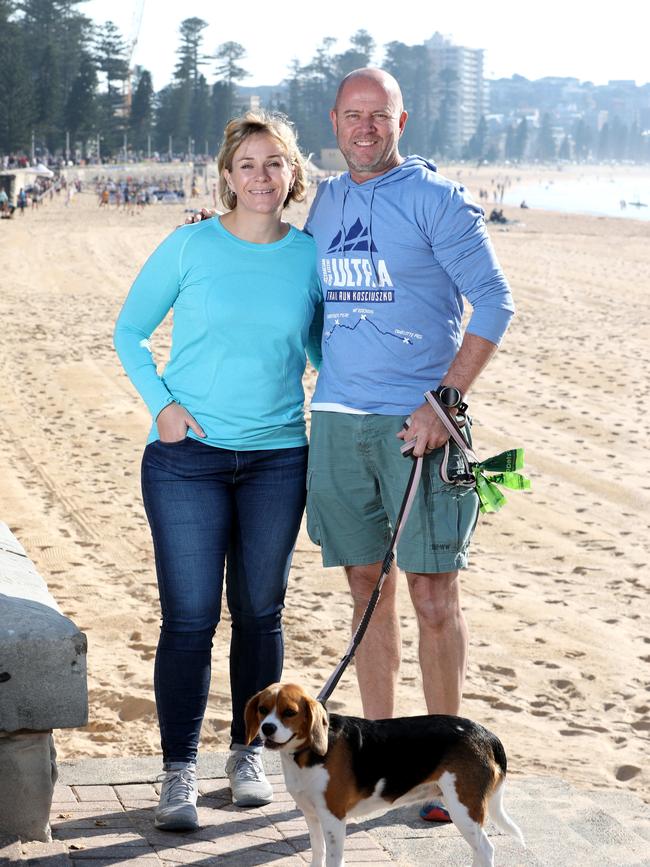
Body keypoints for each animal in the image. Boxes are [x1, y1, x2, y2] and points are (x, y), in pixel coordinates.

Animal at [243, 684, 520, 867]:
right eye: (262, 709)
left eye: (289, 712)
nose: (267, 728)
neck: (306, 754)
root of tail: (486, 734)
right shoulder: (311, 816)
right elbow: (317, 853)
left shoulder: (333, 818)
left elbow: (333, 858)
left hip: (463, 810)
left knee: (485, 849)